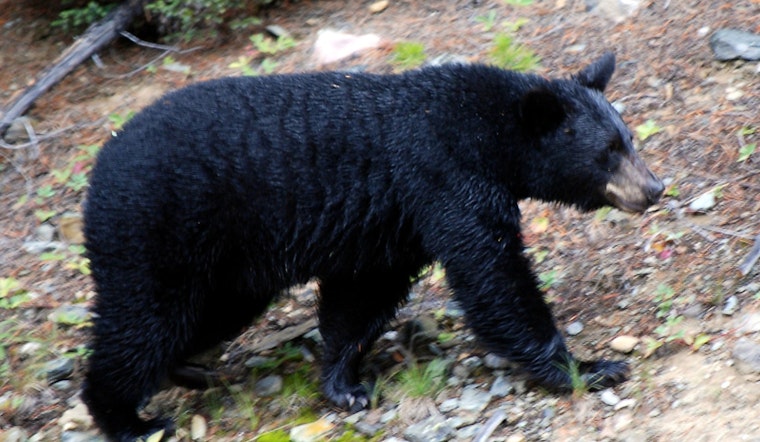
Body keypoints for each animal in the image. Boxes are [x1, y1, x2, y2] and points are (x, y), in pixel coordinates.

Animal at [81, 52, 664, 441]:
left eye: (628, 138)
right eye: (608, 151)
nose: (654, 188)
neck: (490, 135)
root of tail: (100, 166)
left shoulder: (395, 223)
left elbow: (361, 298)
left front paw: (344, 384)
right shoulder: (445, 178)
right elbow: (494, 278)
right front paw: (588, 367)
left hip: (227, 267)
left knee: (205, 316)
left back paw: (187, 370)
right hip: (157, 231)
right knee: (143, 321)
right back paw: (129, 419)